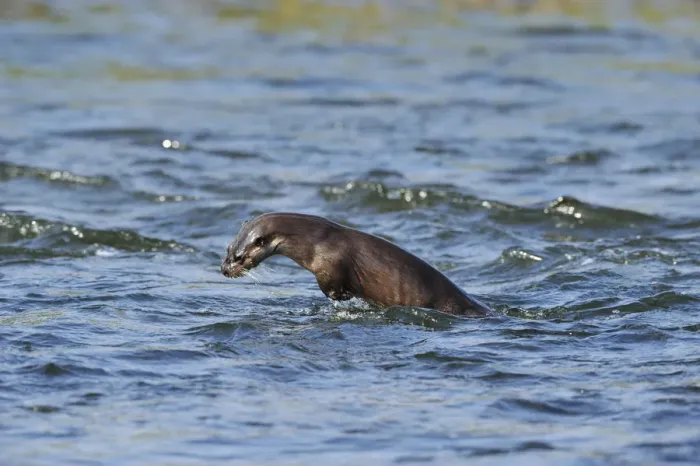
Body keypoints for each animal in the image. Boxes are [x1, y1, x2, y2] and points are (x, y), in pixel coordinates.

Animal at [221, 213, 491, 317]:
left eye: (239, 257)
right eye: (227, 250)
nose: (224, 270)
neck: (315, 240)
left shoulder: (328, 264)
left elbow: (332, 288)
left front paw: (346, 297)